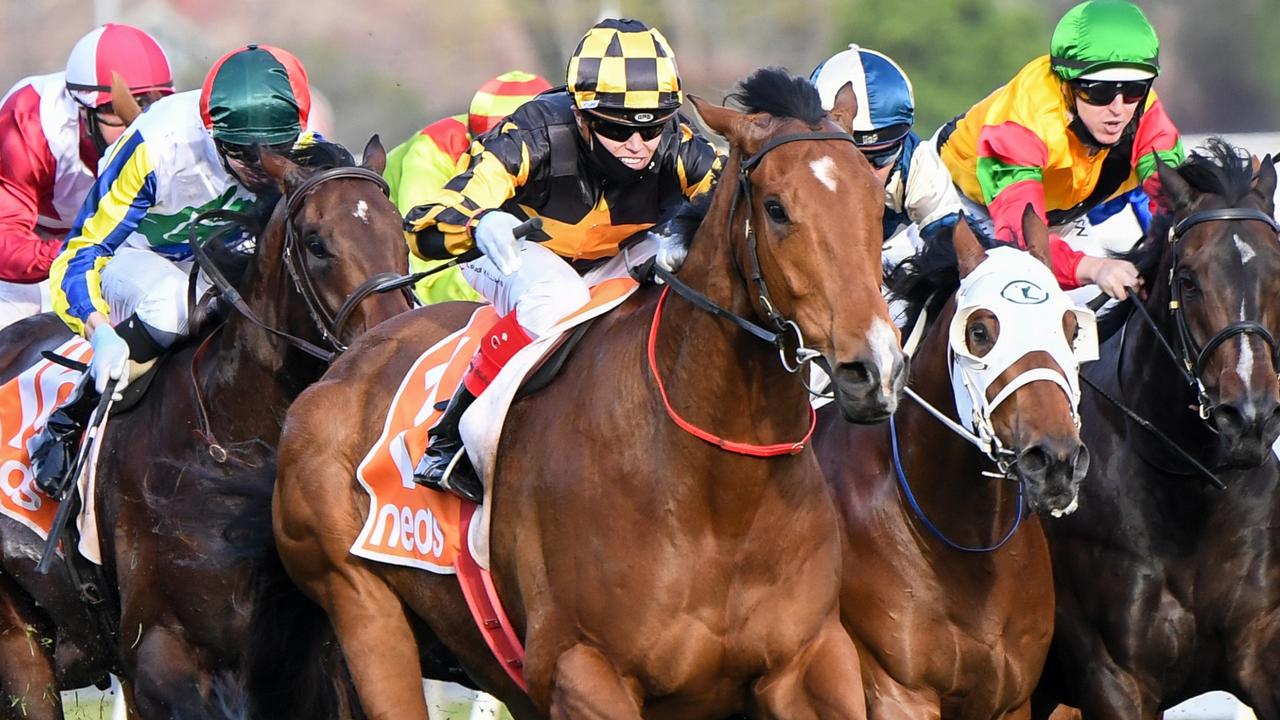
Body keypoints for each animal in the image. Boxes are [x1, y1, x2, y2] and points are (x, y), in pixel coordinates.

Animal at [0, 137, 409, 712]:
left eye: (401, 229)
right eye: (316, 243)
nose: (391, 342)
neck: (231, 446)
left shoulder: (312, 658)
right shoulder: (160, 655)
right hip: (21, 649)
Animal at [257, 68, 901, 717]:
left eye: (876, 206)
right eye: (776, 209)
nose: (872, 367)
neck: (719, 496)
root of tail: (345, 362)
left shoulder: (809, 661)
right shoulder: (583, 668)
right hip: (363, 610)